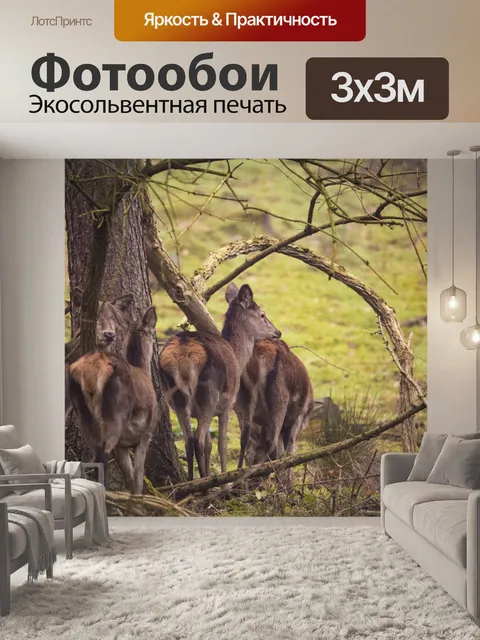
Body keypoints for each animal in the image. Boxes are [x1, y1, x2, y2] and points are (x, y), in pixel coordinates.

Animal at [68, 305, 158, 494]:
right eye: (153, 333)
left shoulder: (122, 446)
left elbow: (130, 478)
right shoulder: (146, 435)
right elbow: (137, 477)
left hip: (83, 413)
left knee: (96, 458)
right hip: (115, 415)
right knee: (102, 457)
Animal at [159, 283, 281, 481]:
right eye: (262, 314)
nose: (278, 332)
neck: (238, 358)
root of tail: (184, 353)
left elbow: (209, 445)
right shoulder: (227, 405)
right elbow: (221, 446)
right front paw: (224, 480)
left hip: (175, 396)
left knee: (189, 440)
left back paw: (190, 481)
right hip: (209, 393)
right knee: (198, 439)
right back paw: (203, 483)